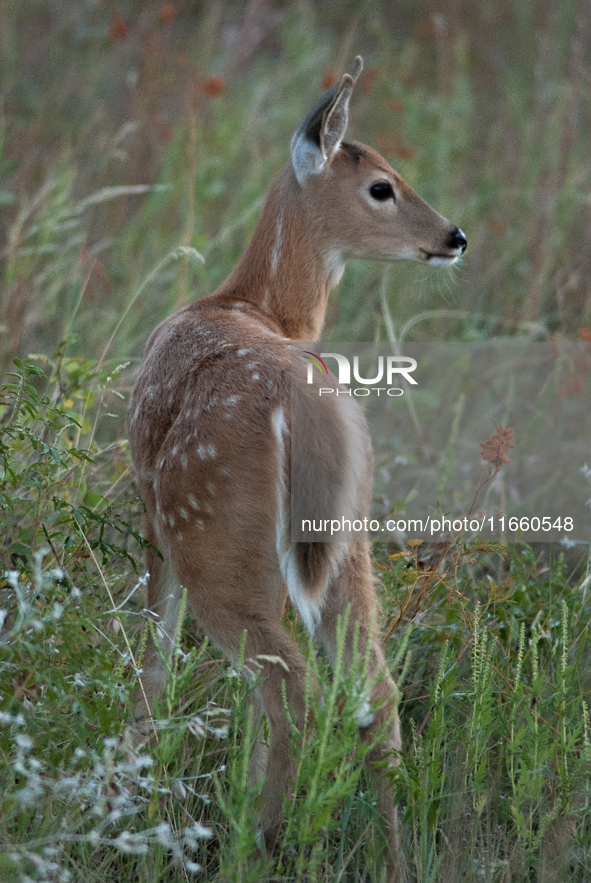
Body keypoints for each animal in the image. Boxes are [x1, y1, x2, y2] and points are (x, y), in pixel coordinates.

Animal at [128, 57, 468, 883]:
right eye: (381, 185)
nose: (453, 235)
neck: (251, 303)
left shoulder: (152, 514)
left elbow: (153, 661)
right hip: (346, 544)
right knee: (372, 691)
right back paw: (387, 857)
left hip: (214, 537)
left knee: (289, 686)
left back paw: (256, 842)